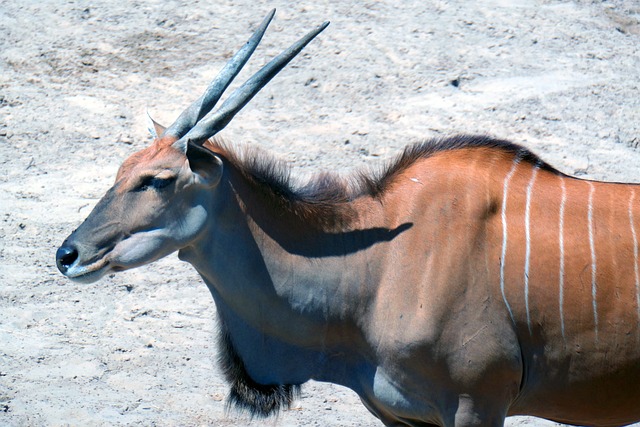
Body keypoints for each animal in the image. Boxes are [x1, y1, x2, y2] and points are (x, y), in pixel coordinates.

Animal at [56, 10, 640, 427]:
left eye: (155, 180)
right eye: (121, 168)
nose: (68, 254)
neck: (378, 268)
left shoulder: (479, 404)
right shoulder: (401, 414)